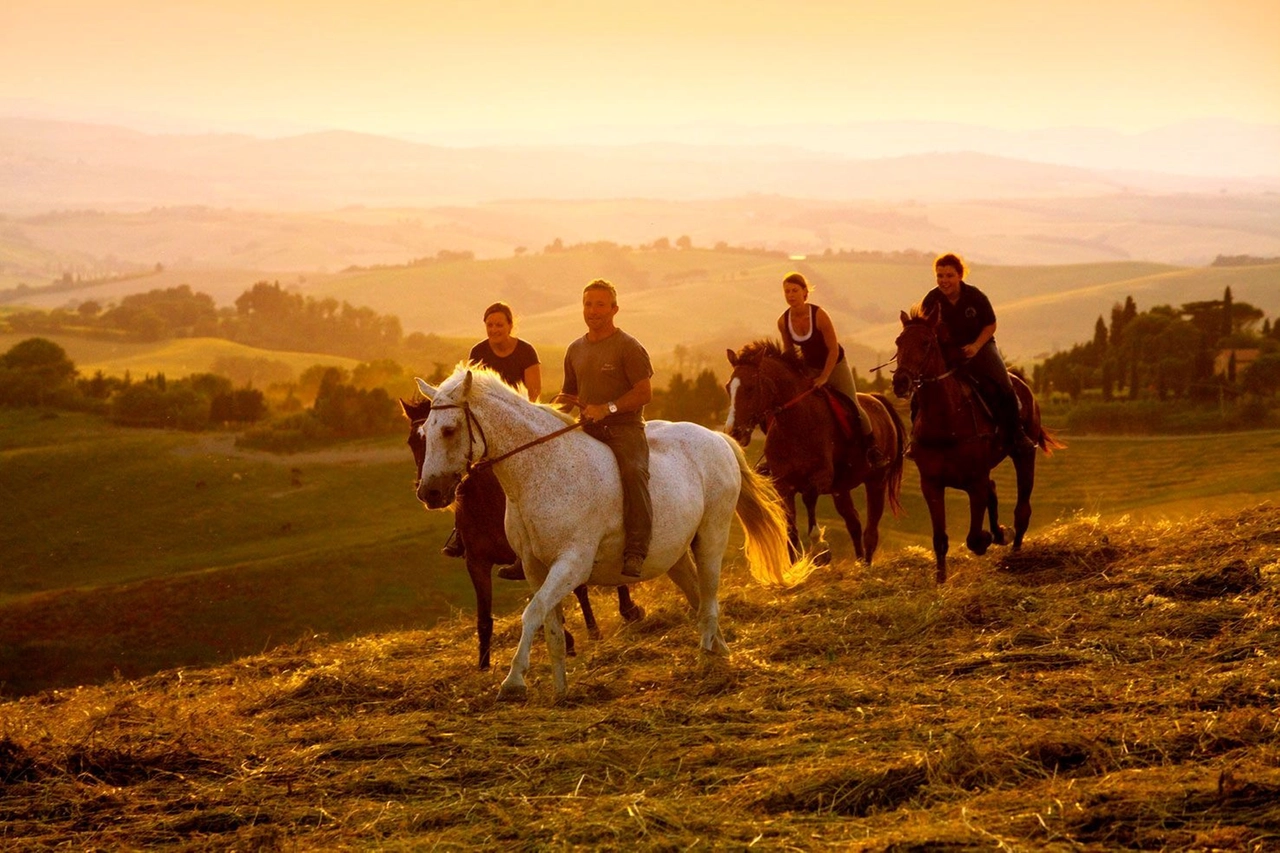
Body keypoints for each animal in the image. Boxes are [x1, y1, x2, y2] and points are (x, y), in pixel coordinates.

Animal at [396, 394, 640, 666]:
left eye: (446, 433)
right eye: (412, 441)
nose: (430, 493)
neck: (488, 503)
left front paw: (572, 638)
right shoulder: (477, 562)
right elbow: (484, 617)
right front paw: (484, 664)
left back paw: (623, 612)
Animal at [727, 338, 906, 563]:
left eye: (750, 388)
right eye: (728, 388)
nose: (734, 432)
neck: (796, 423)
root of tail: (878, 400)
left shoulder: (821, 476)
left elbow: (809, 498)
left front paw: (821, 547)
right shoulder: (783, 485)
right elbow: (791, 531)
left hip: (876, 481)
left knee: (870, 530)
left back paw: (866, 565)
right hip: (841, 489)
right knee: (854, 523)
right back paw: (858, 564)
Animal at [890, 308, 1059, 581]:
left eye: (926, 343)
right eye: (899, 342)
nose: (901, 382)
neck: (947, 417)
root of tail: (1023, 385)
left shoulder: (975, 483)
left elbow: (974, 538)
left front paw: (993, 537)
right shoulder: (931, 485)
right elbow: (940, 539)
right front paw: (940, 580)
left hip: (1024, 456)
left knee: (1022, 510)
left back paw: (1014, 550)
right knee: (996, 492)